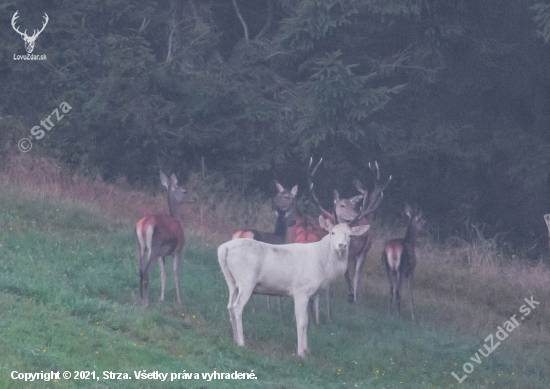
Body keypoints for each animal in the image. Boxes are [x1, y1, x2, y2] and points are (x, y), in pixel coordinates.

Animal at [136, 170, 198, 306]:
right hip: (154, 247)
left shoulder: (162, 254)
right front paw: (180, 300)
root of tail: (144, 224)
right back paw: (146, 303)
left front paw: (162, 298)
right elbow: (176, 274)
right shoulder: (178, 250)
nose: (194, 198)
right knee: (146, 272)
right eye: (184, 191)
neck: (177, 220)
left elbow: (163, 274)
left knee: (140, 271)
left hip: (141, 247)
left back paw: (141, 298)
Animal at [219, 217, 370, 356]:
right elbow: (302, 321)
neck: (322, 268)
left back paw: (234, 339)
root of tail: (223, 248)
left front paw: (307, 349)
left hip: (232, 281)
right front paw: (301, 353)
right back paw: (241, 342)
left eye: (350, 235)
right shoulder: (301, 291)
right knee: (237, 306)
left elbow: (307, 321)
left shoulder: (310, 294)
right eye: (332, 232)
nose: (342, 245)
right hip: (246, 280)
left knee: (229, 305)